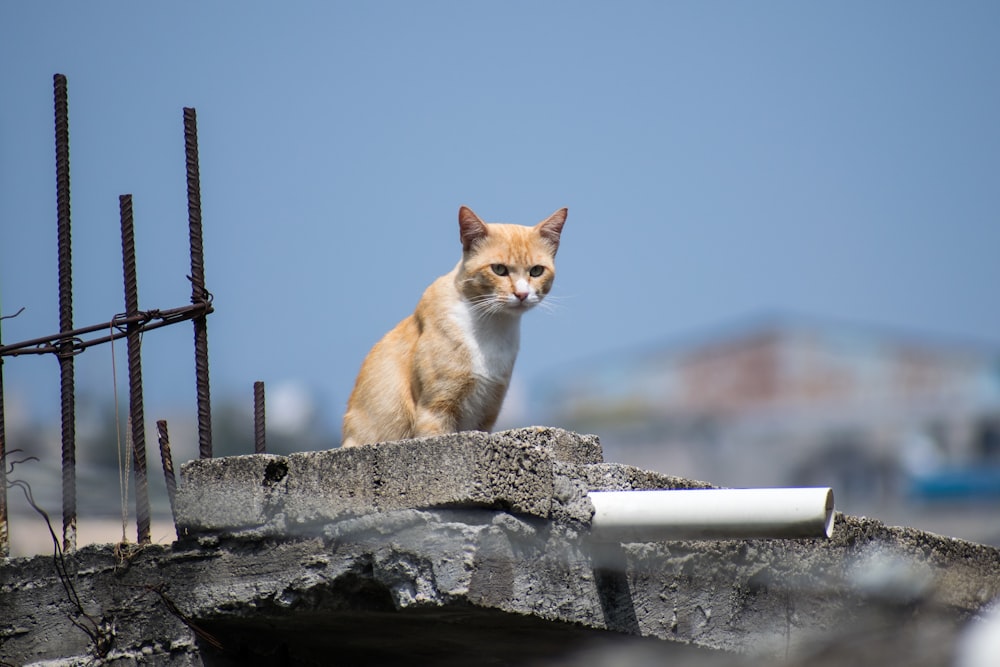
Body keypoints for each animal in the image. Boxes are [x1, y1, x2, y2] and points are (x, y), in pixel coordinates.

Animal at [340, 205, 568, 448]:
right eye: (499, 269)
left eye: (536, 271)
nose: (522, 294)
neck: (491, 328)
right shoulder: (435, 410)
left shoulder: (488, 410)